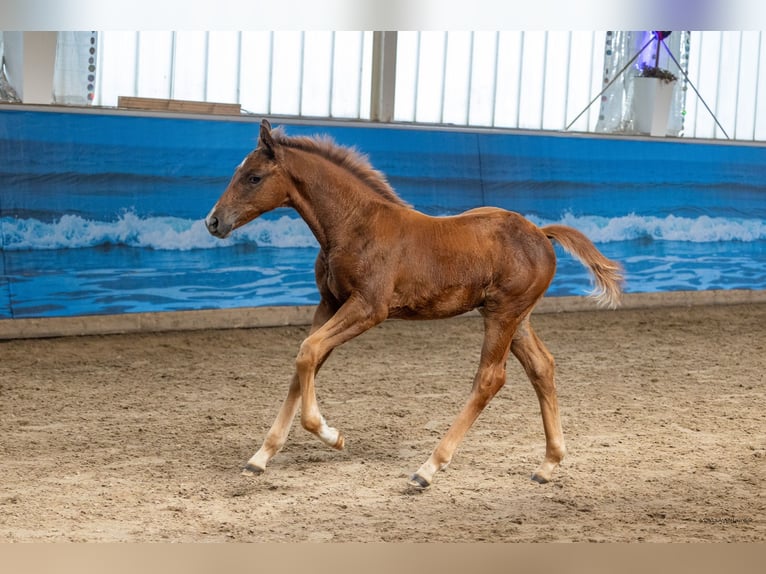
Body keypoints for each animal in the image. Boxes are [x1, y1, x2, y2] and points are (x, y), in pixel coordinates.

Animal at [205, 119, 623, 489]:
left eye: (254, 177)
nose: (213, 221)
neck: (354, 226)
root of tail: (541, 232)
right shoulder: (328, 304)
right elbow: (305, 362)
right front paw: (260, 457)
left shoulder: (368, 308)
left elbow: (308, 353)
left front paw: (330, 434)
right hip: (515, 317)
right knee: (542, 367)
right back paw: (548, 464)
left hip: (503, 314)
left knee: (490, 378)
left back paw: (429, 468)